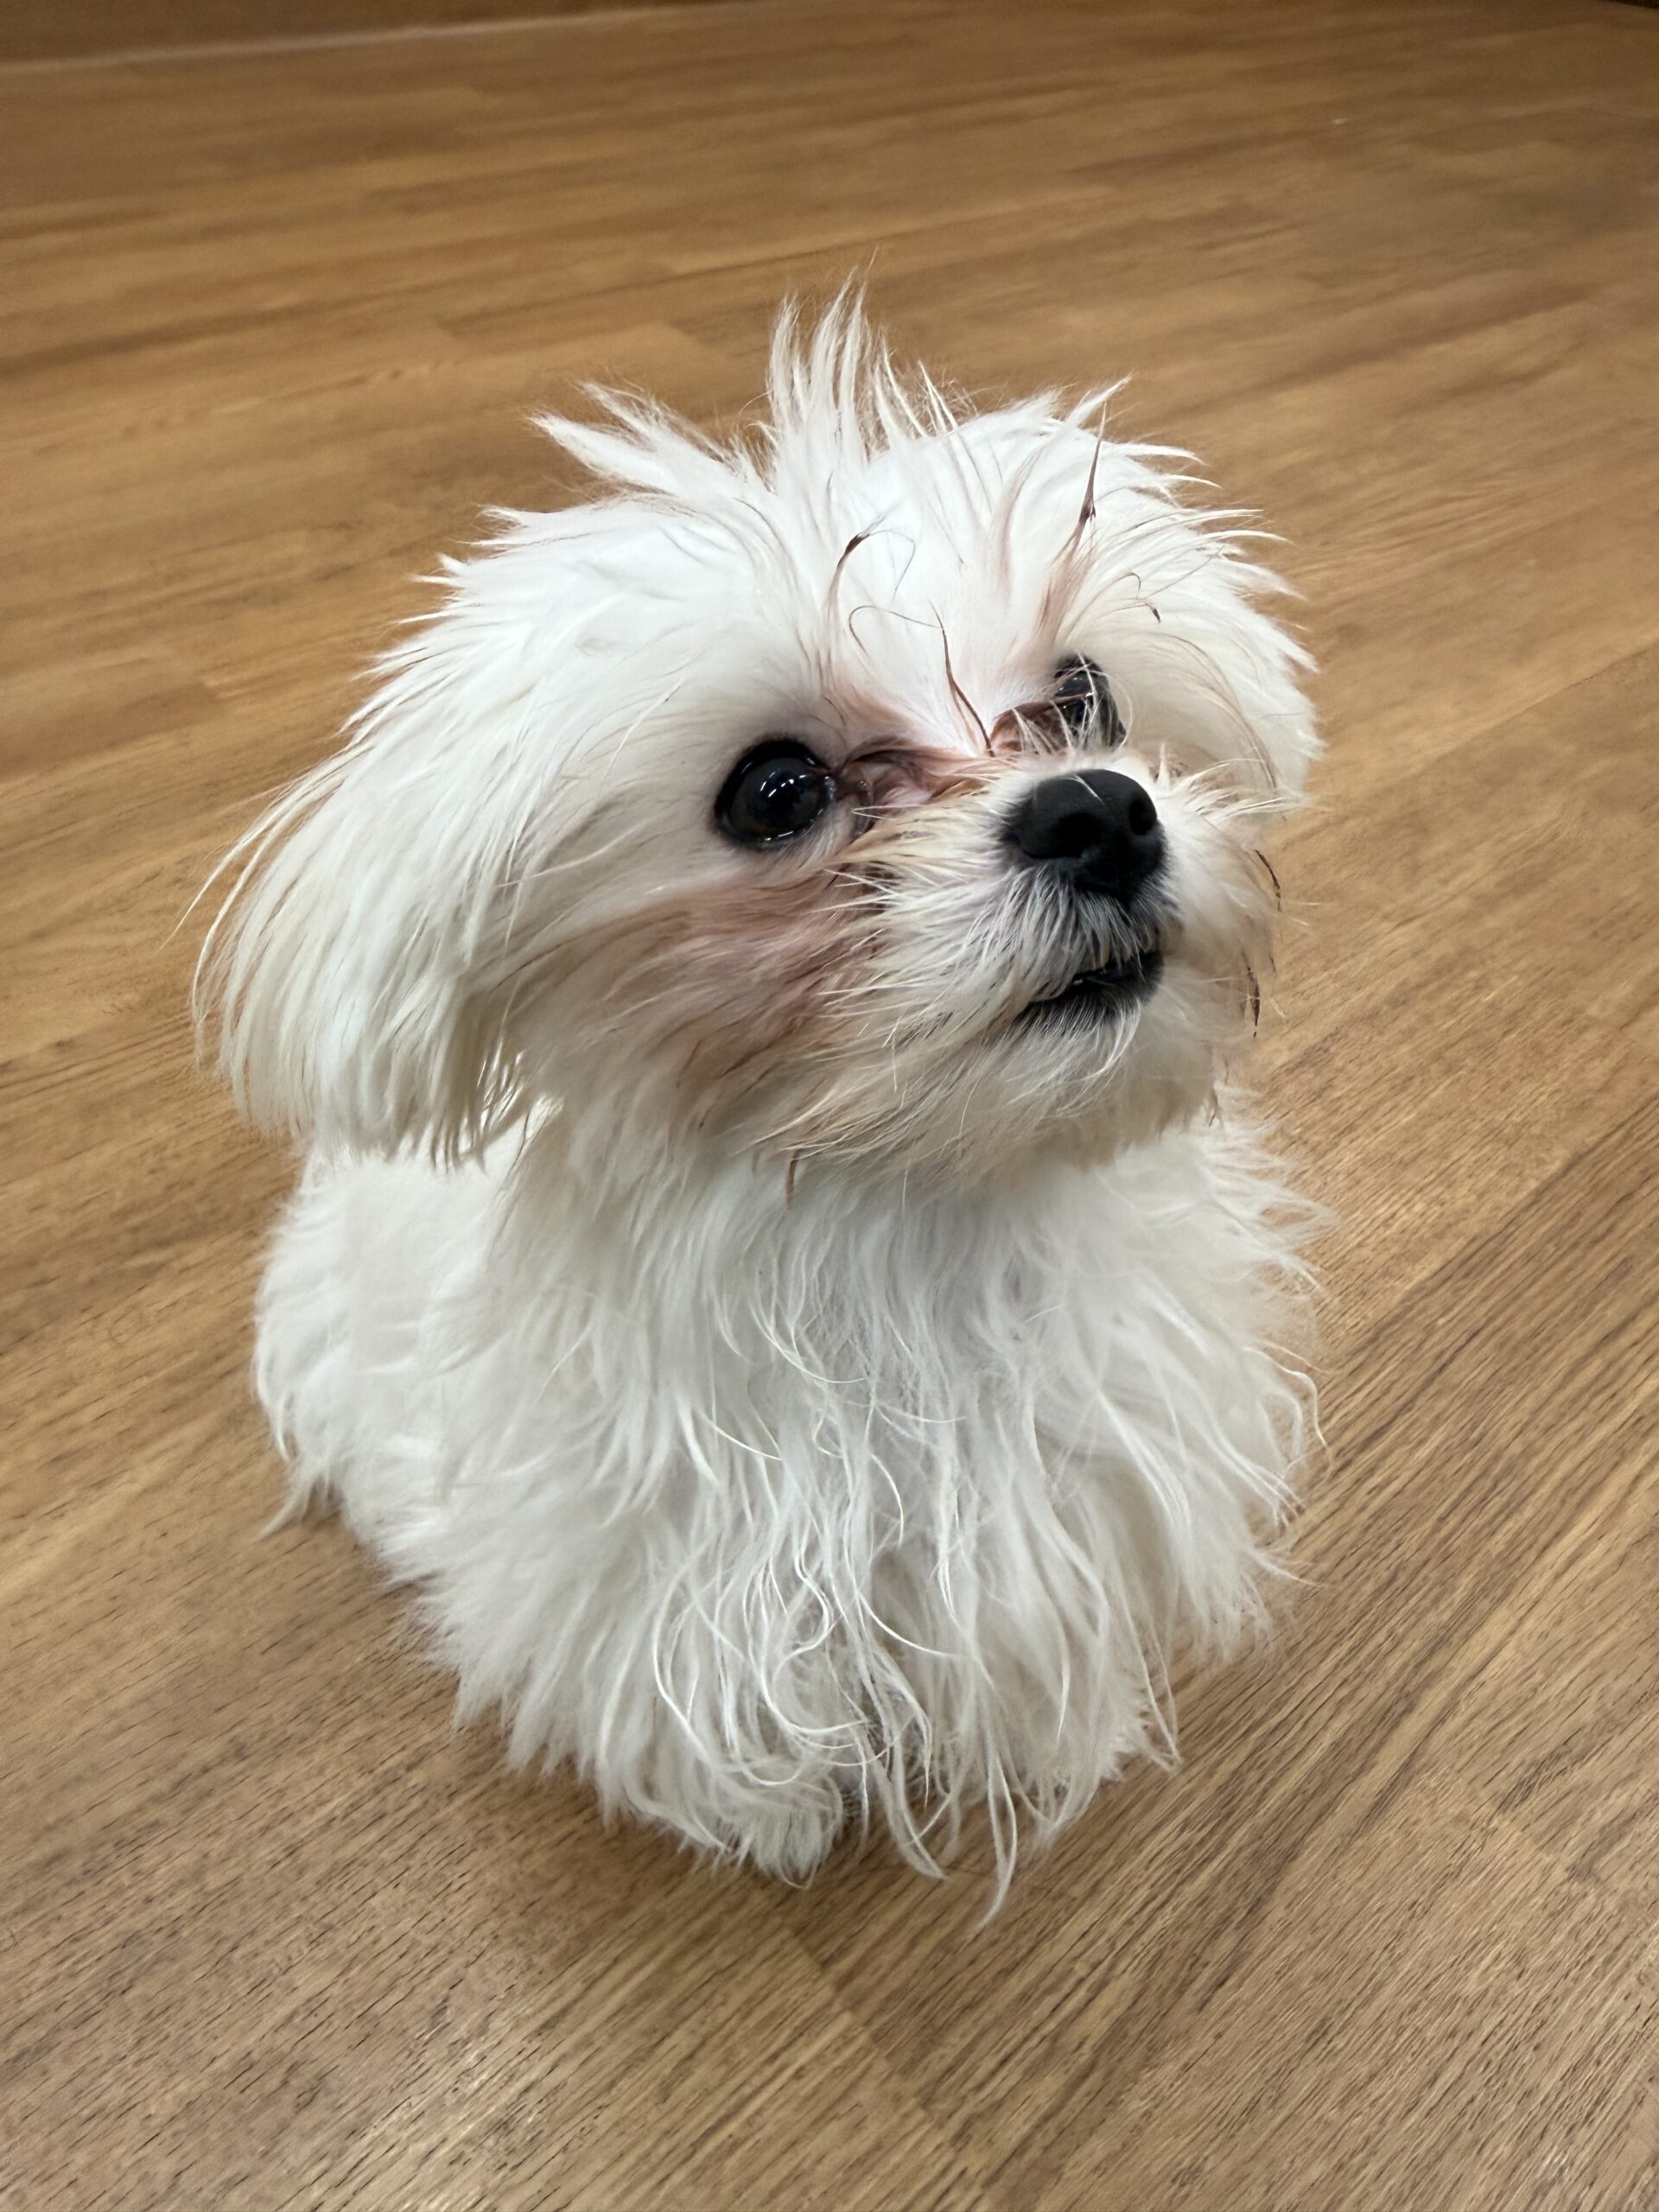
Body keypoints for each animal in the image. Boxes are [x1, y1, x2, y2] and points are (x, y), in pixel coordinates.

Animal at [197, 298, 1318, 1893]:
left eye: (1085, 693)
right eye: (775, 793)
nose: (1100, 811)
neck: (909, 1214)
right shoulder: (661, 1582)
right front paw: (763, 1822)